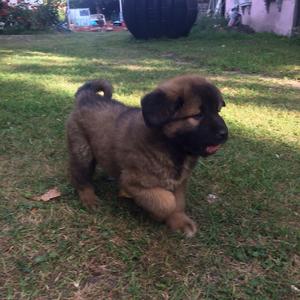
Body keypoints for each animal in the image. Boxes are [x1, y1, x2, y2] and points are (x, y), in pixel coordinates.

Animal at [67, 75, 227, 237]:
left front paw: (179, 221)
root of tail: (87, 96)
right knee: (80, 177)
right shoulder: (133, 182)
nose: (224, 133)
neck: (171, 147)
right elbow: (167, 202)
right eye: (197, 115)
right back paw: (89, 199)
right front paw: (156, 214)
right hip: (82, 150)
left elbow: (179, 202)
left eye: (218, 111)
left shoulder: (179, 181)